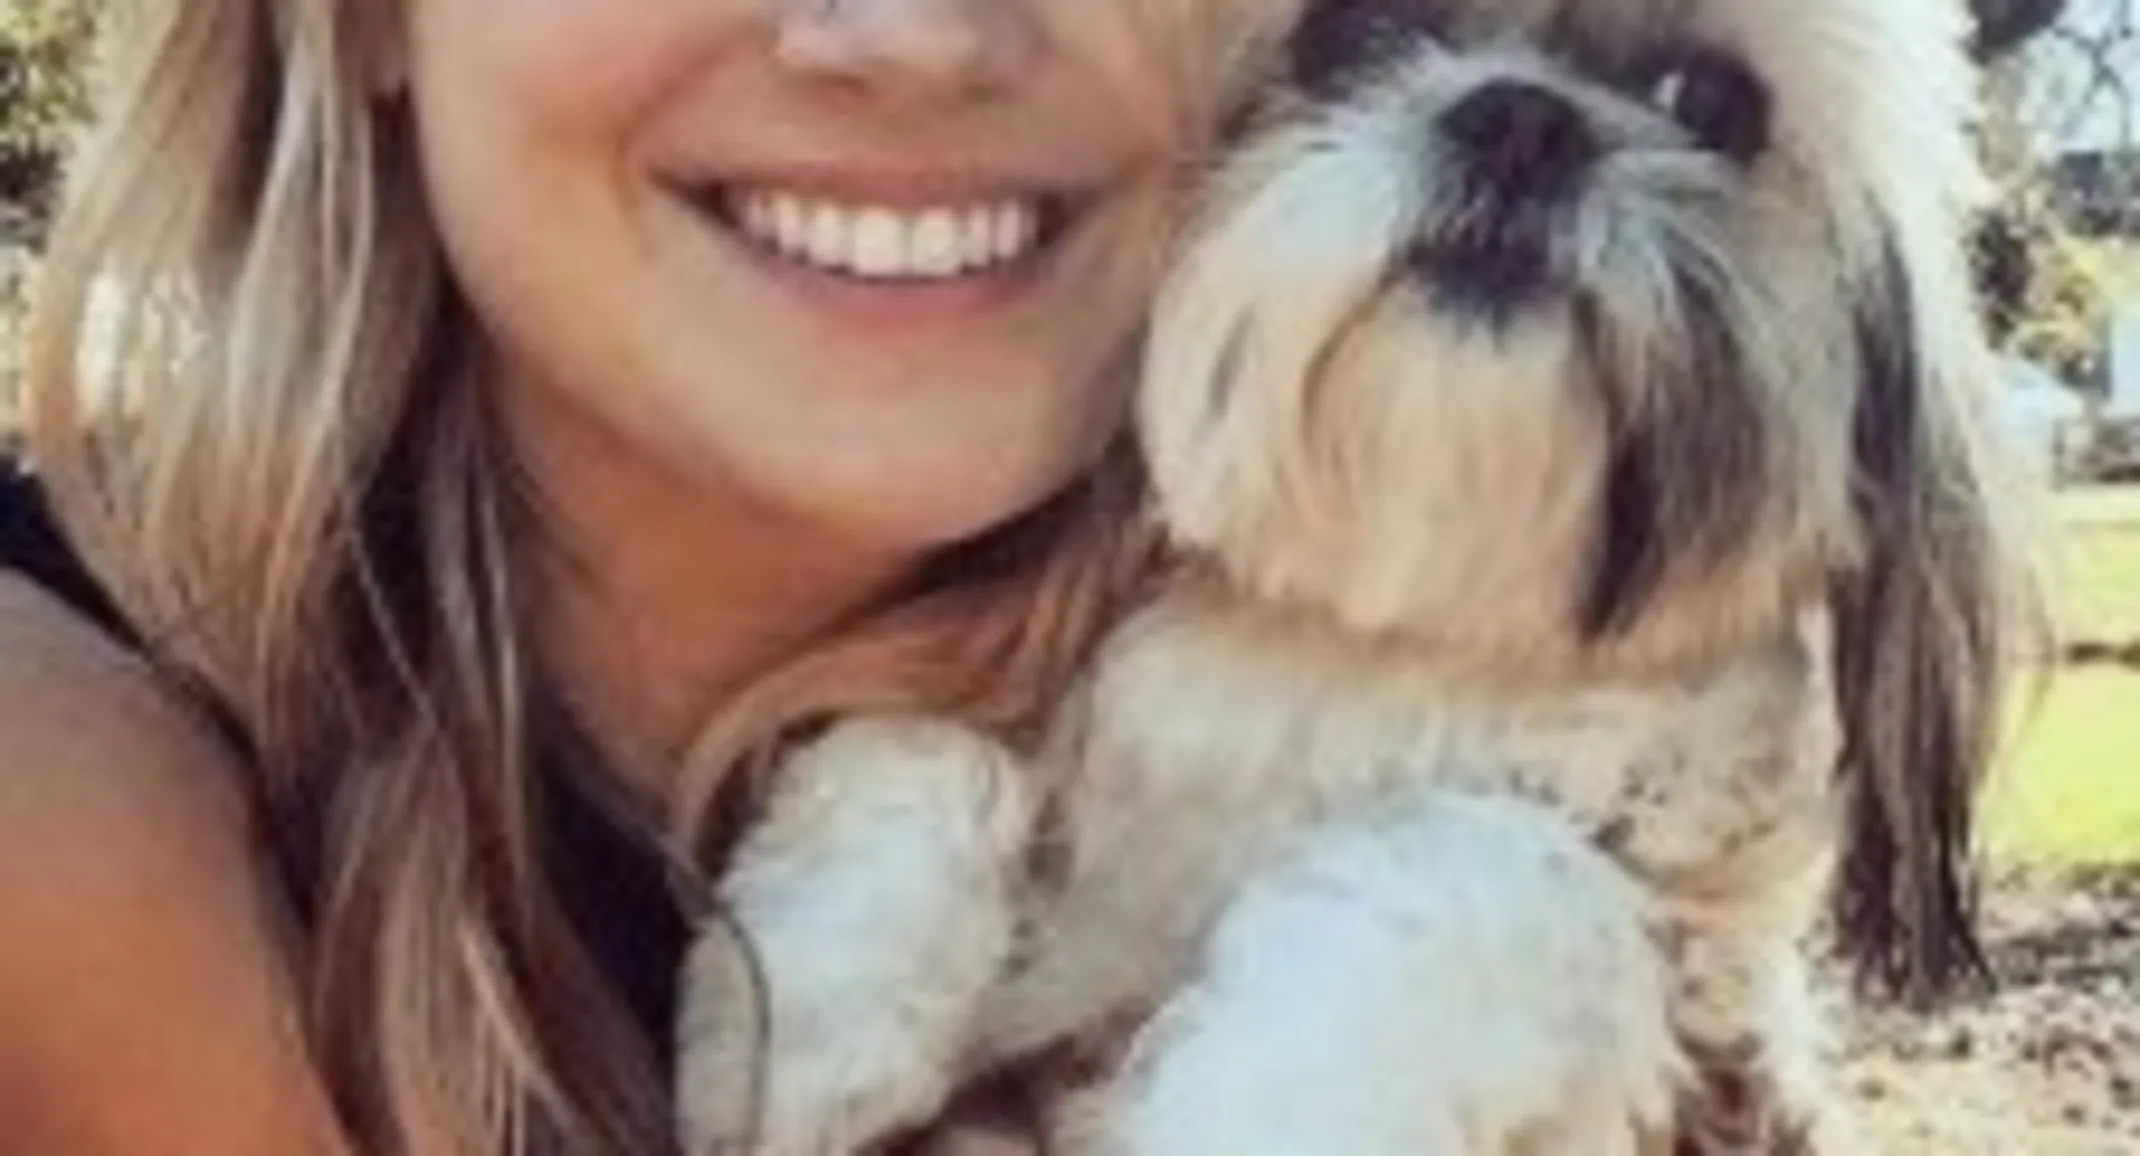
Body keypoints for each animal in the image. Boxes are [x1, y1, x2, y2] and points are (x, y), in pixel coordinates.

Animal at [676, 0, 2028, 1147]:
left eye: (1707, 97)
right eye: (1350, 34)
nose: (1522, 120)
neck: (1387, 644)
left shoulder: (1672, 942)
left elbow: (1453, 868)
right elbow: (923, 746)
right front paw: (793, 1018)